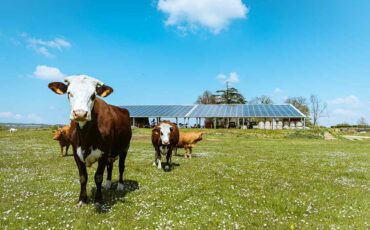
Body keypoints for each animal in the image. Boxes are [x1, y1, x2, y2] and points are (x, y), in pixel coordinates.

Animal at [47, 75, 132, 207]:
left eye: (93, 95)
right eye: (69, 93)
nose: (80, 113)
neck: (85, 138)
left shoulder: (103, 153)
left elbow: (98, 177)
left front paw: (98, 200)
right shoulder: (76, 153)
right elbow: (83, 177)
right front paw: (82, 199)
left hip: (124, 148)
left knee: (121, 167)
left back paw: (120, 186)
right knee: (110, 166)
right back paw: (108, 185)